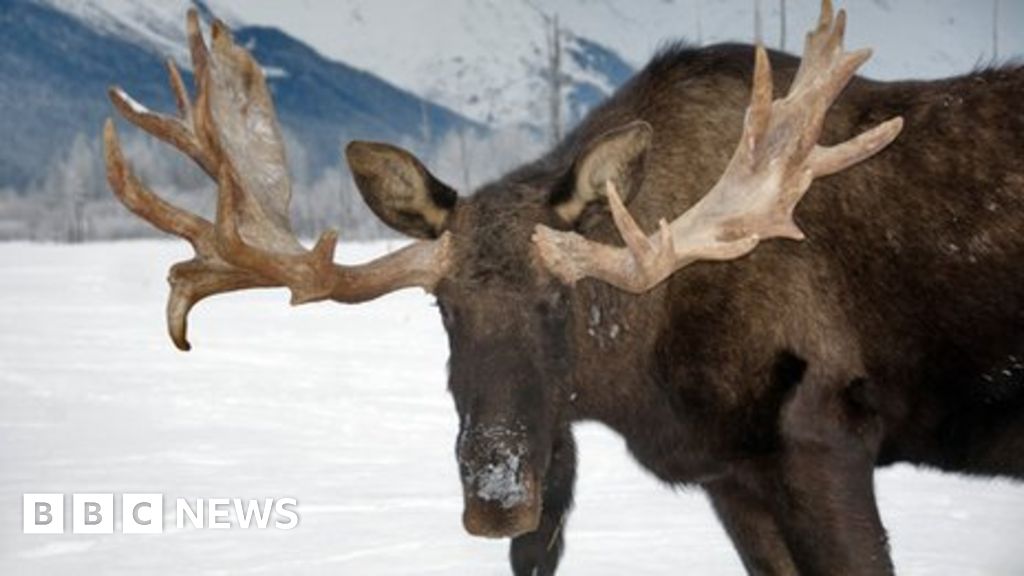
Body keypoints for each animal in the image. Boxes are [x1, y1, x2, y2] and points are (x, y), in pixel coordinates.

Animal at [104, 2, 1024, 574]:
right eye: (442, 309)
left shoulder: (824, 434)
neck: (646, 381)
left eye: (561, 302)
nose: (497, 497)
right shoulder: (733, 476)